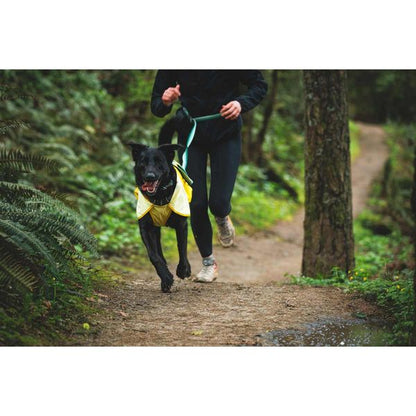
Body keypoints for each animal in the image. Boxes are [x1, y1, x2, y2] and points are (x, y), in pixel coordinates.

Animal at [128, 141, 192, 290]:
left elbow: (182, 247)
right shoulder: (146, 228)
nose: (150, 176)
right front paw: (166, 278)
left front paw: (183, 269)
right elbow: (154, 255)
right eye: (143, 162)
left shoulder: (181, 224)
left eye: (159, 162)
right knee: (159, 252)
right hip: (156, 230)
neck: (159, 197)